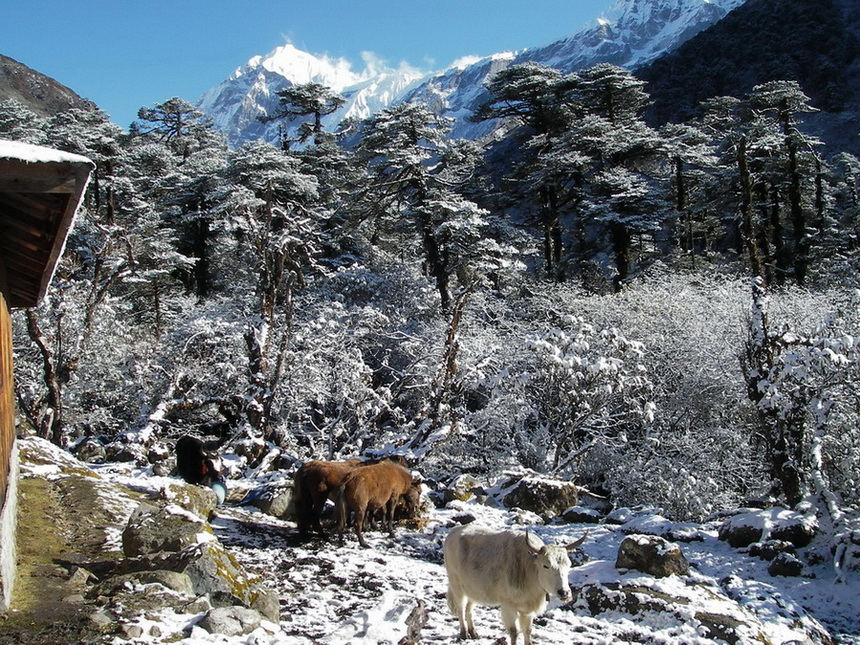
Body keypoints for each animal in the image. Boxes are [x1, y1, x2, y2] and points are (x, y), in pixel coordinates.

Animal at [444, 524, 584, 644]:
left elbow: (528, 631)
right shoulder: (508, 605)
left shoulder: (527, 611)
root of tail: (452, 533)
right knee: (461, 608)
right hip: (456, 585)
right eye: (546, 565)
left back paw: (474, 632)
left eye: (569, 565)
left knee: (469, 608)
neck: (529, 569)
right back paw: (464, 633)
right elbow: (514, 632)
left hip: (472, 589)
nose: (564, 592)